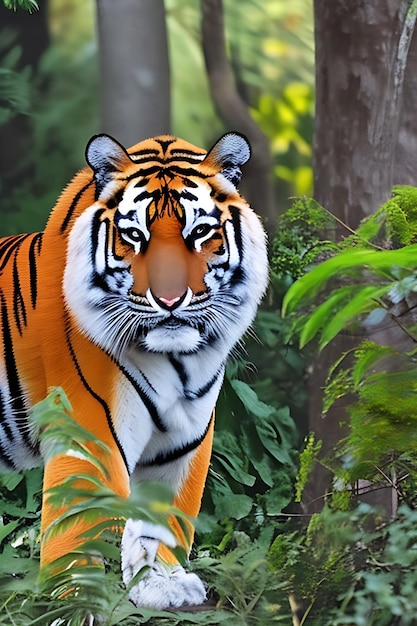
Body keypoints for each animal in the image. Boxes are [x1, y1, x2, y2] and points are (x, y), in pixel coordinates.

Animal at [0, 130, 266, 604]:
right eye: (135, 235)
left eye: (199, 232)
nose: (169, 299)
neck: (178, 362)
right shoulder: (89, 431)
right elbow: (79, 518)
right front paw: (70, 600)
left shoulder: (185, 443)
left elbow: (164, 519)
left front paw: (162, 583)